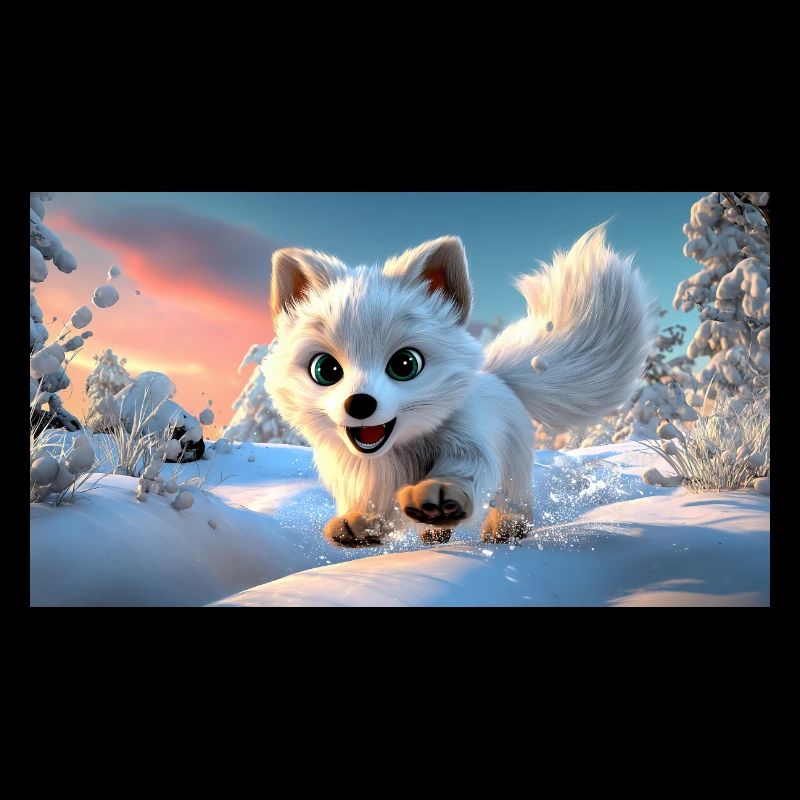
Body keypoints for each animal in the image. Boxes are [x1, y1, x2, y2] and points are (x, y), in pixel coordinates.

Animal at [264, 223, 656, 547]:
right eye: (326, 370)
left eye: (405, 364)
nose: (359, 403)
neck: (400, 452)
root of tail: (498, 376)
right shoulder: (361, 477)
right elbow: (374, 508)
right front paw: (360, 525)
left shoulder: (471, 445)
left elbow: (465, 472)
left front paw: (439, 497)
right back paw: (434, 532)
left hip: (514, 468)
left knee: (514, 499)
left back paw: (504, 527)